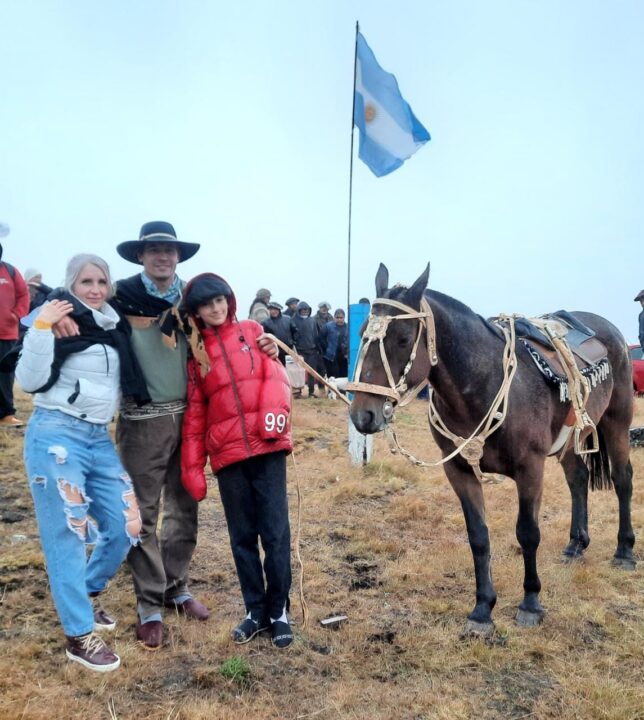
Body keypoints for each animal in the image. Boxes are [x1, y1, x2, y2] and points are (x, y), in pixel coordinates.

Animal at [348, 264, 632, 636]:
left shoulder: (530, 468)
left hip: (617, 422)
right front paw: (483, 609)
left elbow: (528, 533)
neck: (483, 385)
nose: (362, 414)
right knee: (578, 479)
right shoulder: (459, 471)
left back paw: (625, 551)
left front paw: (530, 603)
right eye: (363, 332)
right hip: (572, 436)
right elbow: (478, 537)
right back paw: (575, 544)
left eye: (404, 339)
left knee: (623, 480)